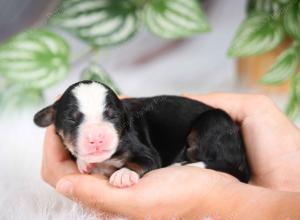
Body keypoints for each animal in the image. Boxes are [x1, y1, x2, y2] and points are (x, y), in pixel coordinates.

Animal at [34, 81, 251, 187]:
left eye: (112, 116)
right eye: (72, 119)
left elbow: (140, 161)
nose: (96, 138)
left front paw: (123, 174)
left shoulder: (147, 151)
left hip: (213, 123)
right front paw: (84, 163)